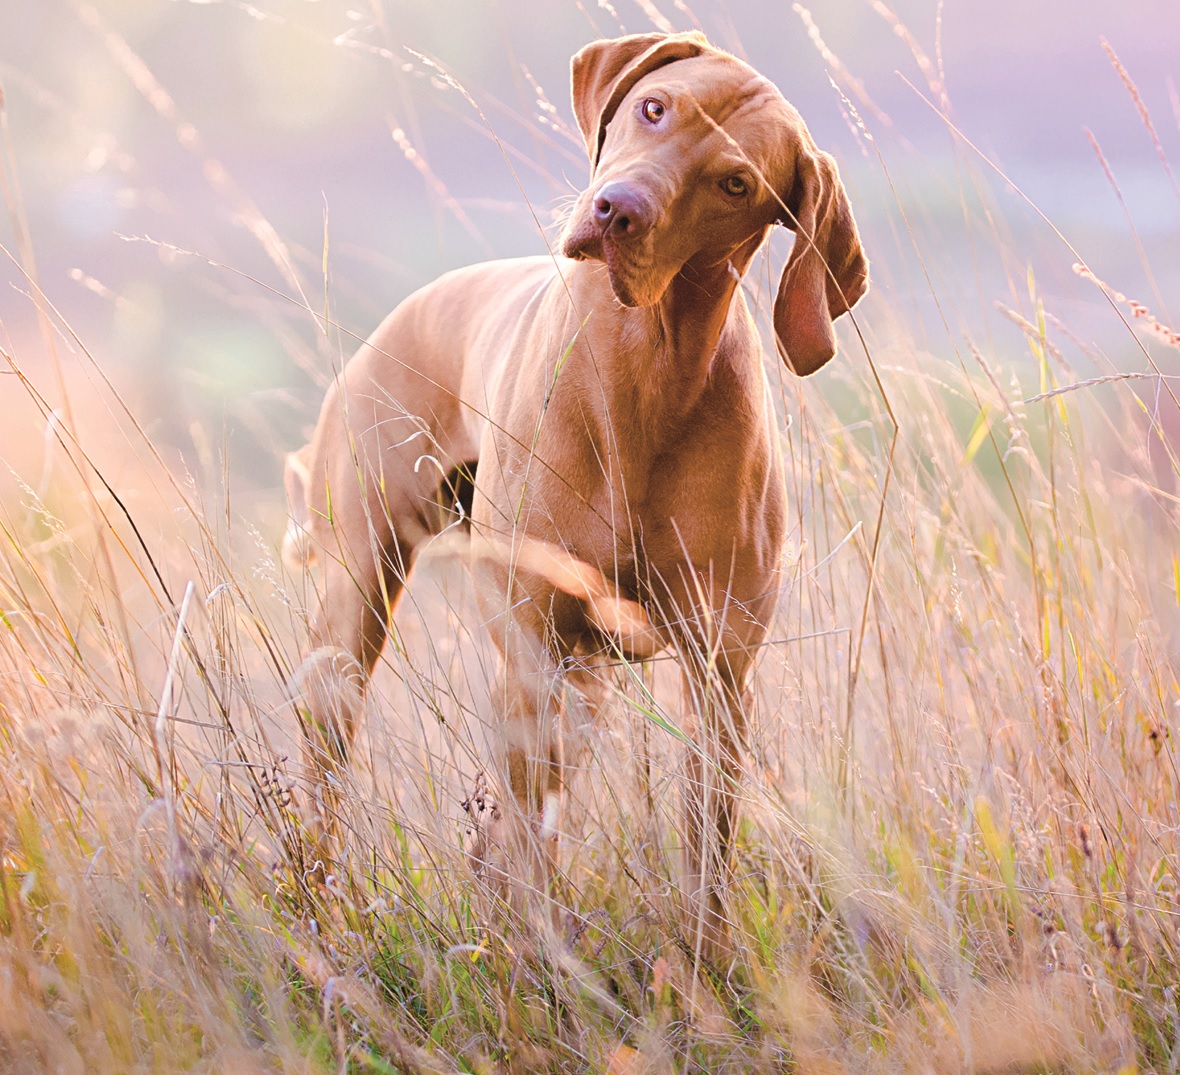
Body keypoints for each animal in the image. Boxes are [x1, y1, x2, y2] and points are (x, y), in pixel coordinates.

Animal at [285, 31, 868, 958]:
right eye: (654, 109)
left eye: (736, 183)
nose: (617, 210)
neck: (648, 369)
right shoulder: (533, 652)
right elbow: (531, 848)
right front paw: (538, 962)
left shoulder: (720, 674)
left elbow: (705, 854)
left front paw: (704, 968)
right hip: (361, 618)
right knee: (338, 776)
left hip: (585, 680)